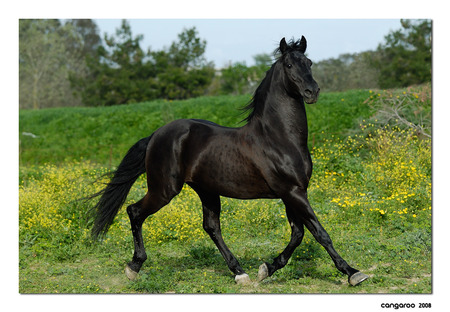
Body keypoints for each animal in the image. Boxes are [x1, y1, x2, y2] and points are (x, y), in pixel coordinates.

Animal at [90, 36, 370, 286]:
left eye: (309, 62)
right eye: (290, 65)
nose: (312, 92)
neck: (279, 138)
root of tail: (156, 135)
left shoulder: (293, 192)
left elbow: (298, 234)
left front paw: (266, 269)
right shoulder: (293, 192)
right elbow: (320, 233)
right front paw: (353, 273)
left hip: (206, 190)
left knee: (211, 227)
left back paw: (240, 273)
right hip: (164, 189)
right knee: (135, 212)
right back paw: (134, 267)